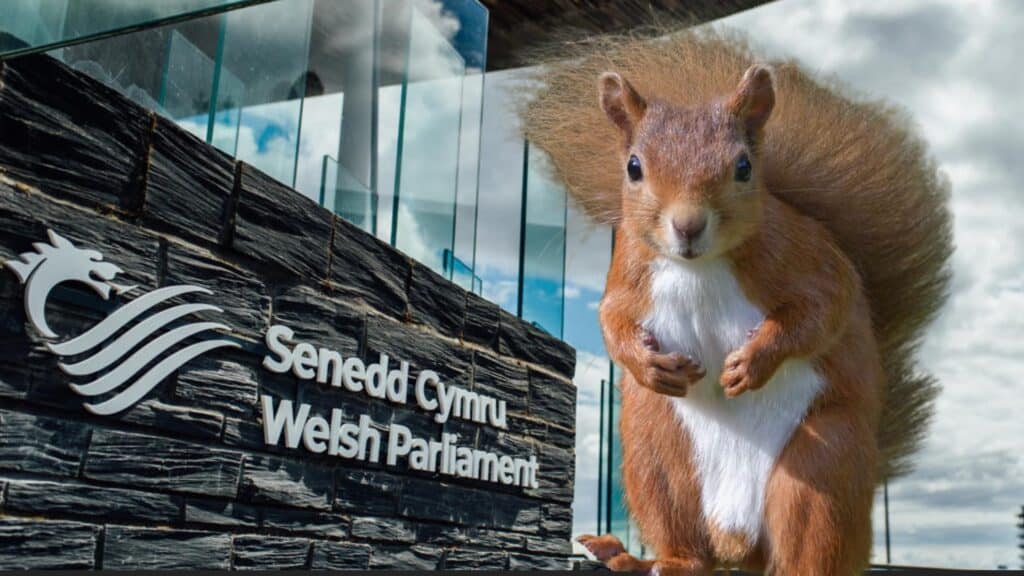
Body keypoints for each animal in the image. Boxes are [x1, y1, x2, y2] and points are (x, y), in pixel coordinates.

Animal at [521, 29, 953, 575]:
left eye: (744, 166)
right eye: (633, 167)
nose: (687, 225)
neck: (698, 268)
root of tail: (737, 544)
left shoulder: (806, 257)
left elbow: (823, 312)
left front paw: (752, 362)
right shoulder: (629, 272)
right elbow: (612, 320)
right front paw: (647, 364)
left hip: (822, 463)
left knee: (808, 541)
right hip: (656, 454)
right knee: (686, 543)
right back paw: (642, 559)